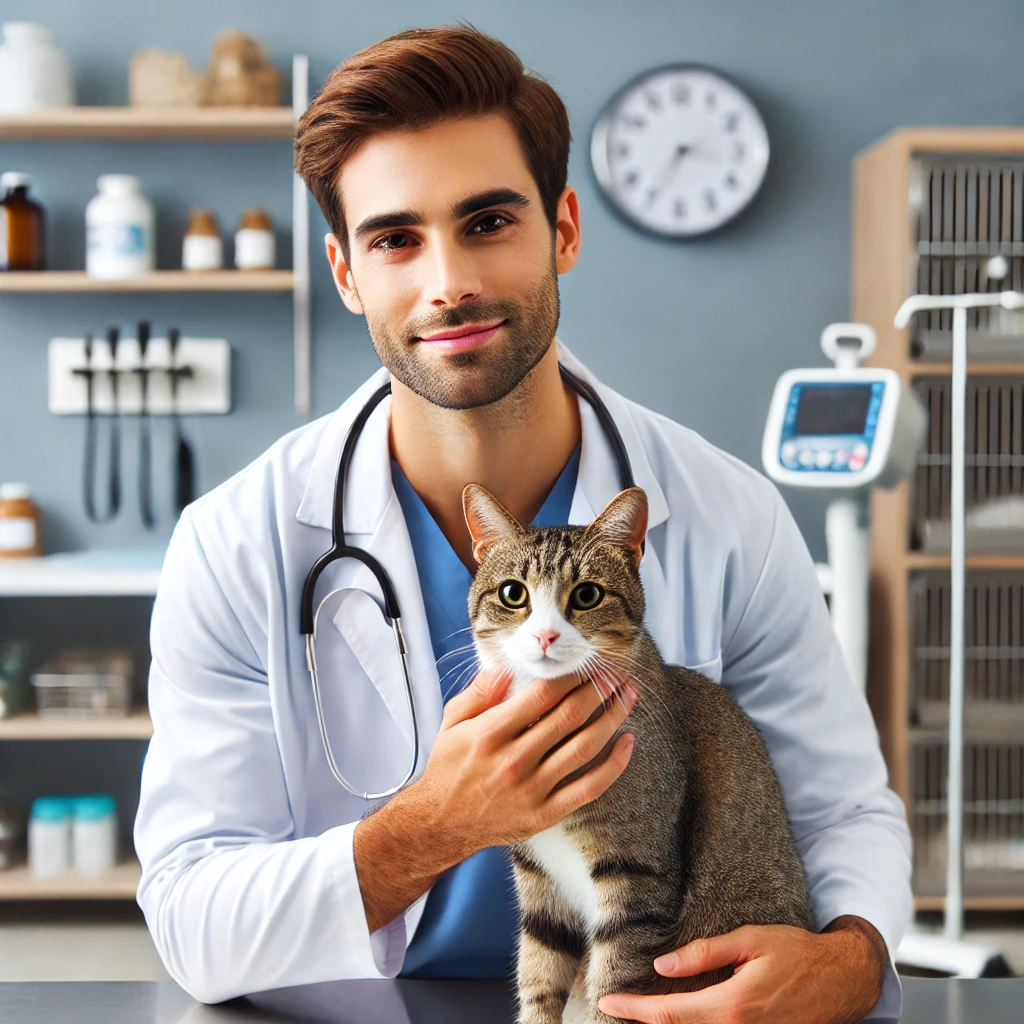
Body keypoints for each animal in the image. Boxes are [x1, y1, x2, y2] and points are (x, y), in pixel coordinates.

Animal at [464, 481, 815, 1024]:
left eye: (587, 595)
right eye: (512, 593)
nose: (545, 635)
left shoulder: (637, 877)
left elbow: (614, 985)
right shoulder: (540, 882)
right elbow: (540, 971)